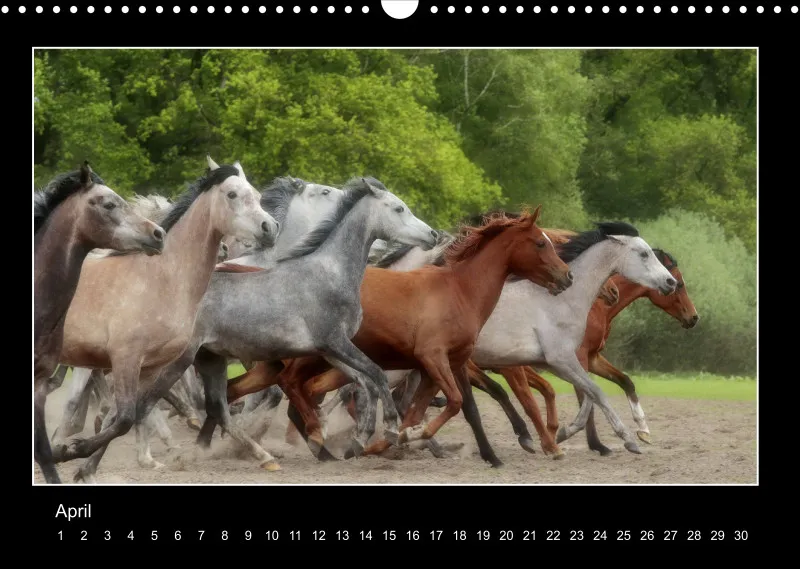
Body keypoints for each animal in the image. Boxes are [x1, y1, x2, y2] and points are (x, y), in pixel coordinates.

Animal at [76, 176, 439, 479]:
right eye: (398, 208)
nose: (433, 234)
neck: (329, 272)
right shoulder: (336, 342)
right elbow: (375, 375)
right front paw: (387, 430)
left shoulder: (329, 350)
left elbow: (363, 383)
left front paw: (357, 440)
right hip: (174, 362)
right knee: (133, 408)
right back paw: (89, 459)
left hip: (208, 359)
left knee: (202, 406)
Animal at [228, 207, 576, 468]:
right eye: (540, 243)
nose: (568, 276)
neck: (458, 291)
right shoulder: (432, 359)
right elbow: (453, 403)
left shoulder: (447, 365)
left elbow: (438, 410)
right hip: (314, 358)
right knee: (293, 388)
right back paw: (316, 438)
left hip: (288, 363)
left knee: (249, 390)